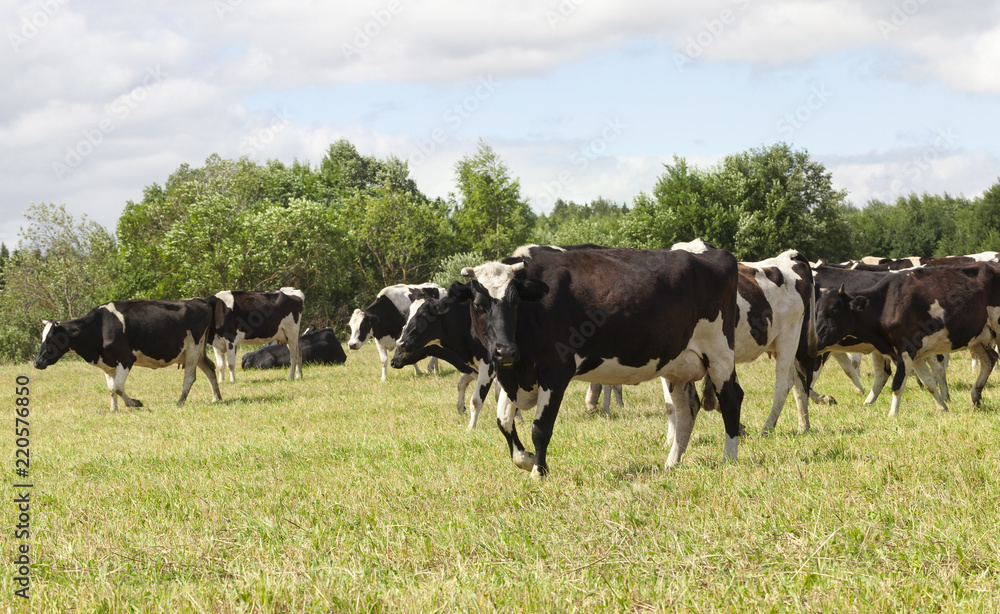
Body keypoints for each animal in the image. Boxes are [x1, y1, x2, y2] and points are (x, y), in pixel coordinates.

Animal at [33, 300, 223, 412]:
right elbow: (111, 389)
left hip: (193, 347)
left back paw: (180, 402)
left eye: (52, 339)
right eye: (41, 337)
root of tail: (200, 301)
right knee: (210, 368)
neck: (99, 328)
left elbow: (118, 387)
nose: (37, 362)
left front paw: (135, 403)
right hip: (195, 352)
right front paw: (114, 410)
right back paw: (216, 398)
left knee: (189, 377)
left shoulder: (125, 359)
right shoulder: (107, 364)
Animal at [452, 242, 744, 482]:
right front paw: (524, 459)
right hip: (677, 365)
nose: (505, 351)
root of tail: (716, 253)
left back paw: (729, 459)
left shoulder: (555, 372)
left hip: (719, 353)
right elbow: (503, 421)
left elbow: (540, 428)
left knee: (731, 399)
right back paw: (672, 463)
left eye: (514, 302)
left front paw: (539, 471)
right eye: (478, 304)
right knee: (687, 410)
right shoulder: (514, 374)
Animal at [816, 264, 1000, 418]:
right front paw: (942, 407)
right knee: (990, 359)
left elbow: (897, 385)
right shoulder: (915, 354)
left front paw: (892, 414)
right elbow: (929, 383)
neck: (885, 305)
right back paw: (975, 397)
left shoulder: (906, 350)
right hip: (977, 337)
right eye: (816, 311)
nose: (816, 339)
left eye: (834, 311)